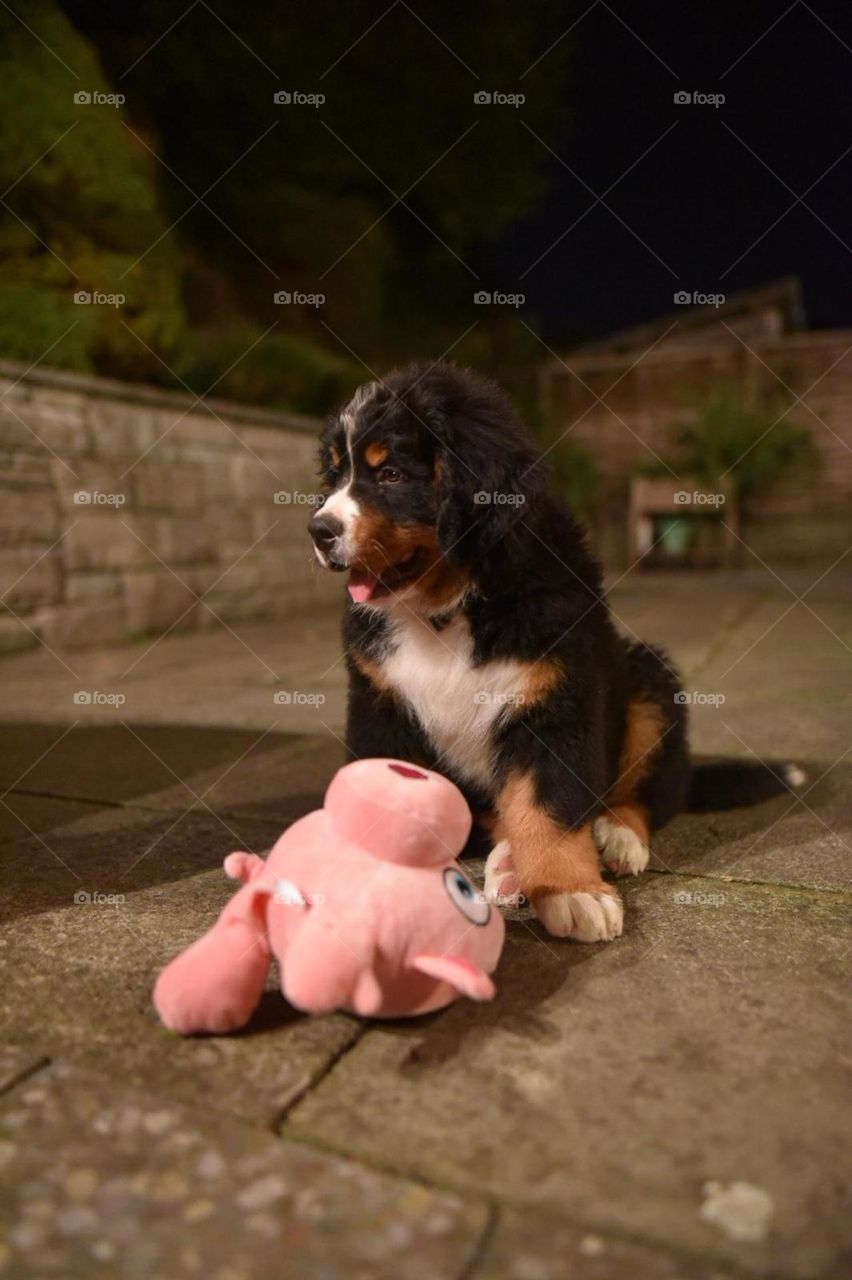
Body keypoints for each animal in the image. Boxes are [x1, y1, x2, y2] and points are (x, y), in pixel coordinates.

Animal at [308, 360, 798, 942]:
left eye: (391, 475)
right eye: (334, 476)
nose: (317, 530)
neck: (448, 607)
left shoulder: (555, 701)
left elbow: (551, 803)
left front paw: (571, 891)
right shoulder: (380, 707)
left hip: (647, 680)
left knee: (646, 794)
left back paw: (616, 837)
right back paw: (509, 864)